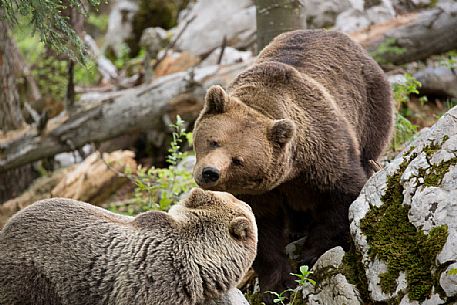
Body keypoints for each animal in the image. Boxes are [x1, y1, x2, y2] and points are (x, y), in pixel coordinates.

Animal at [191, 29, 394, 294]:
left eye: (238, 160)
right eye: (214, 141)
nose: (210, 173)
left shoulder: (325, 155)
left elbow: (343, 195)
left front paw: (311, 255)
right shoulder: (260, 191)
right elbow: (261, 228)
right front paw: (278, 283)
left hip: (371, 109)